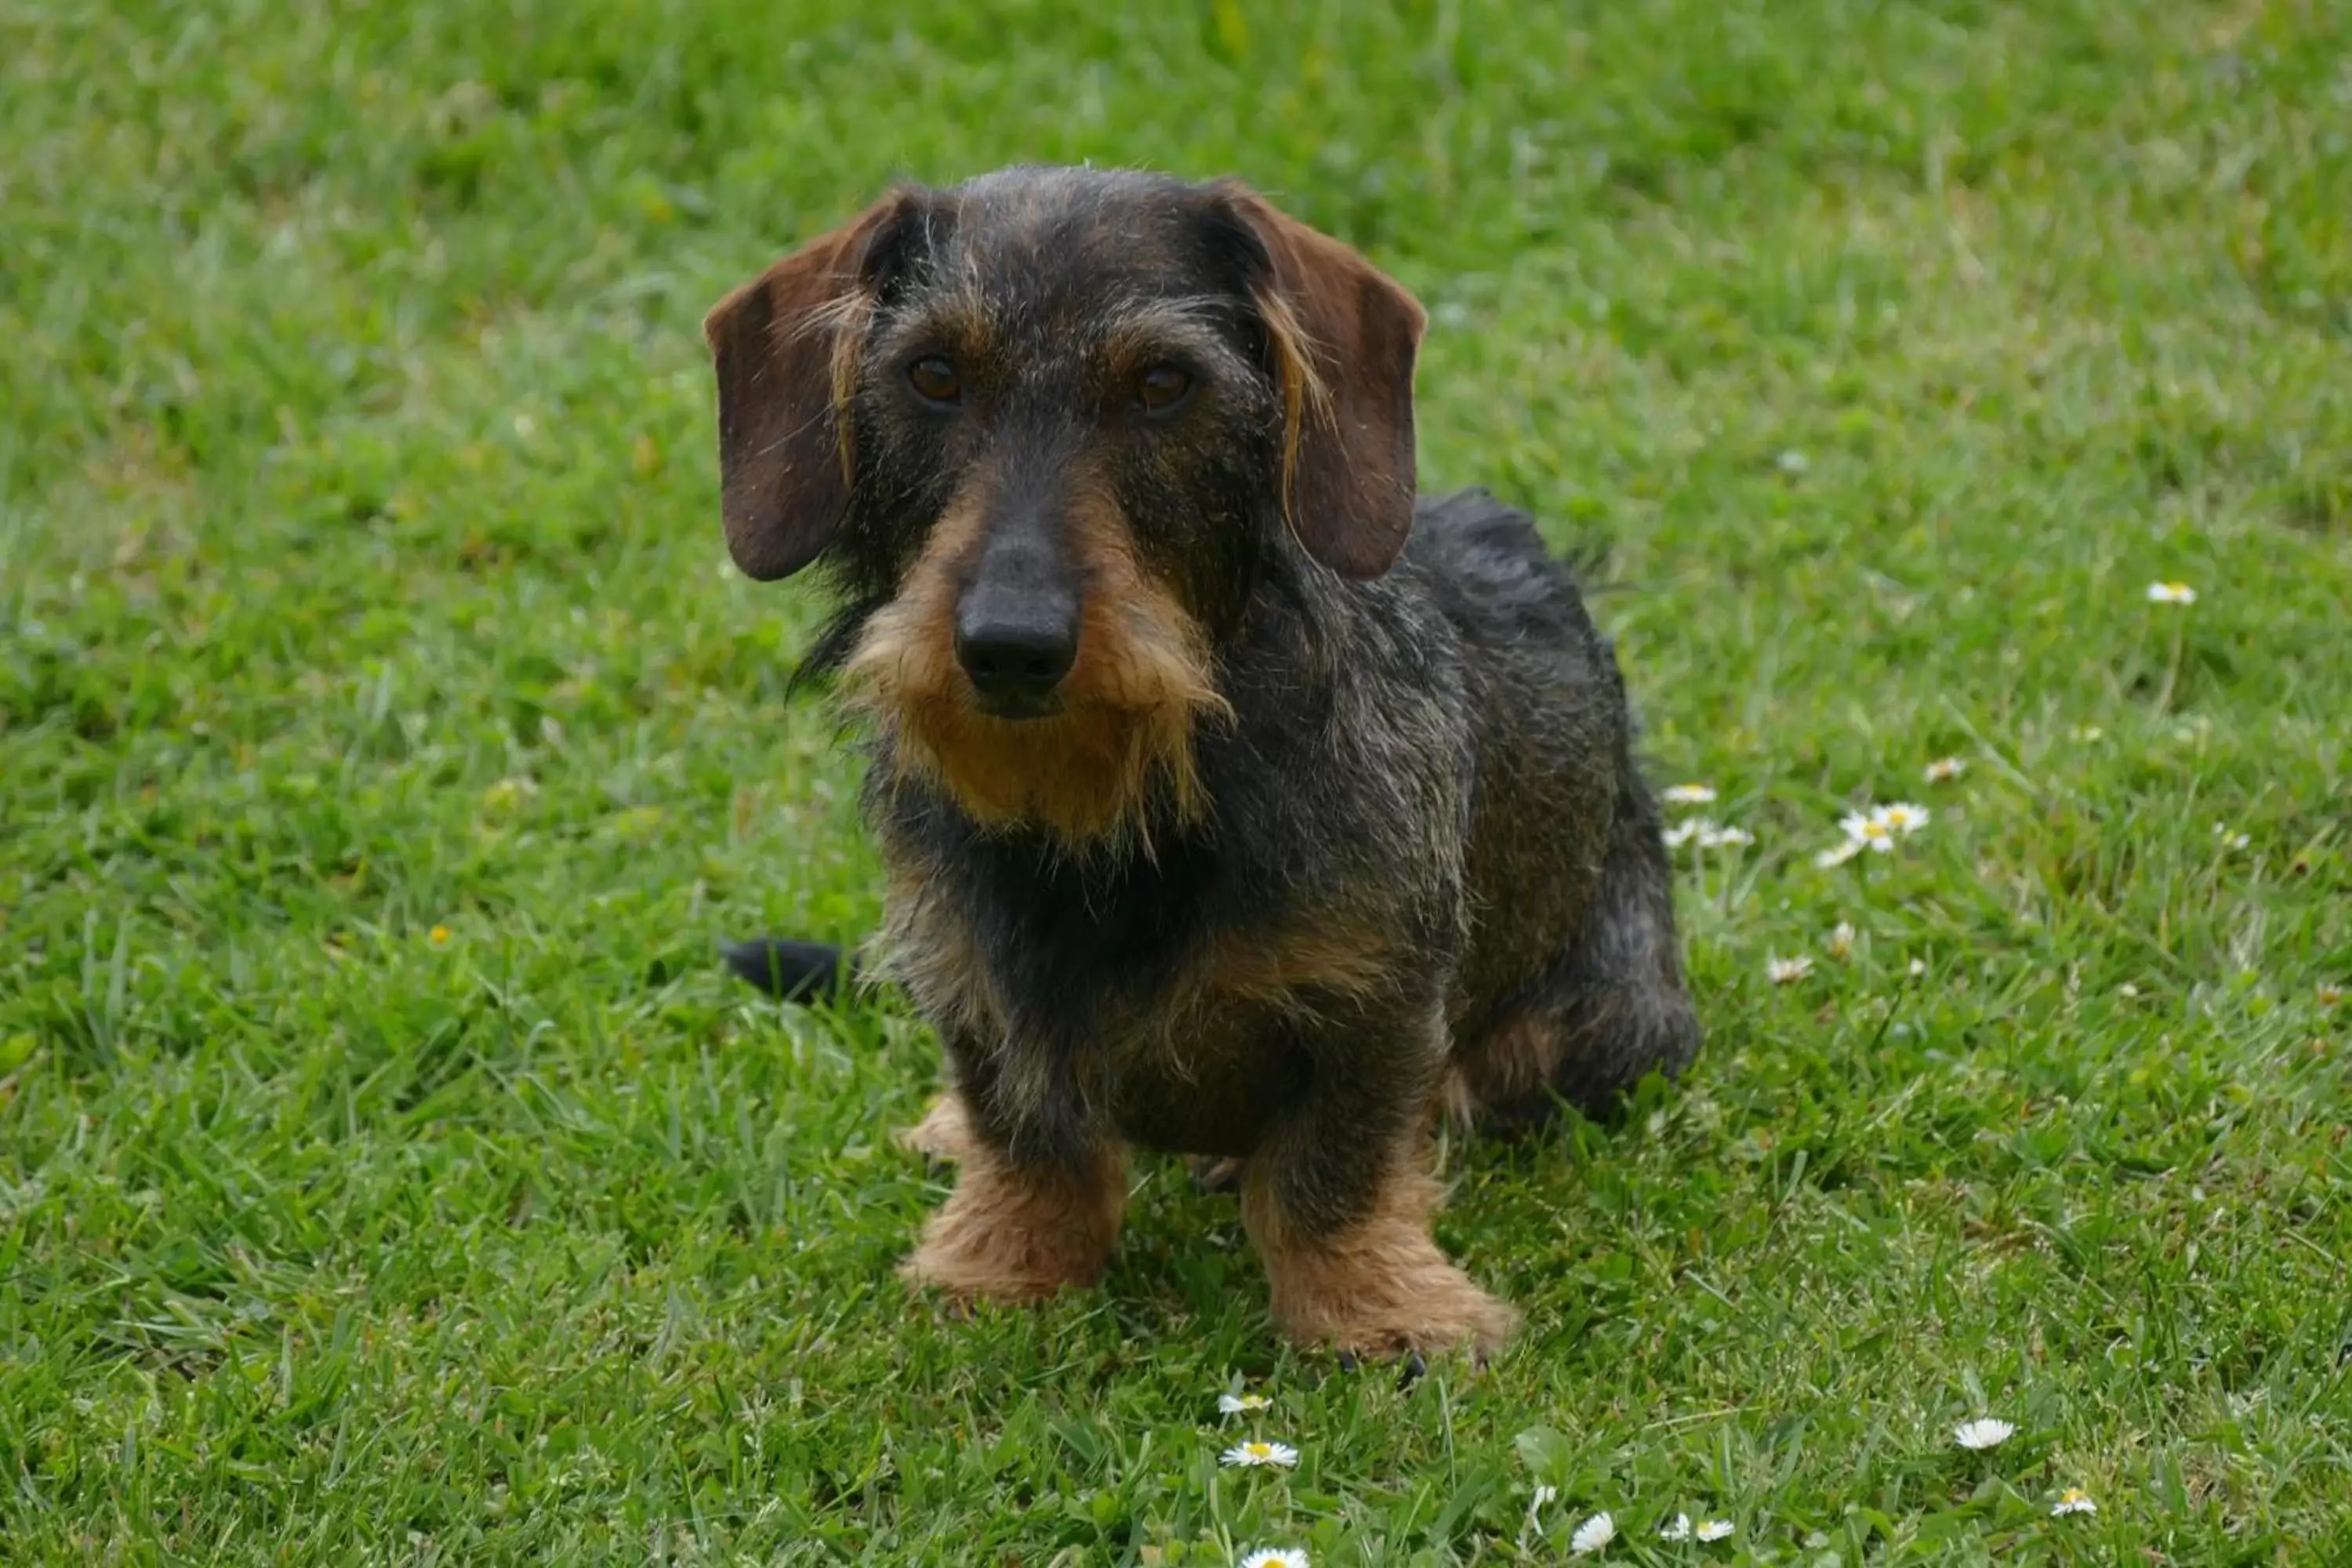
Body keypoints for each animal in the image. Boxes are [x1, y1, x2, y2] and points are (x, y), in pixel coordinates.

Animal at [696, 165, 1693, 1354]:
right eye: (933, 374)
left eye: (1164, 383)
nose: (1011, 647)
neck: (1120, 815)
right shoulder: (967, 969)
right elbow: (1027, 1133)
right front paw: (1006, 1264)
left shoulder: (1382, 992)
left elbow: (1335, 1164)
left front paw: (1376, 1305)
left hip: (1599, 1030)